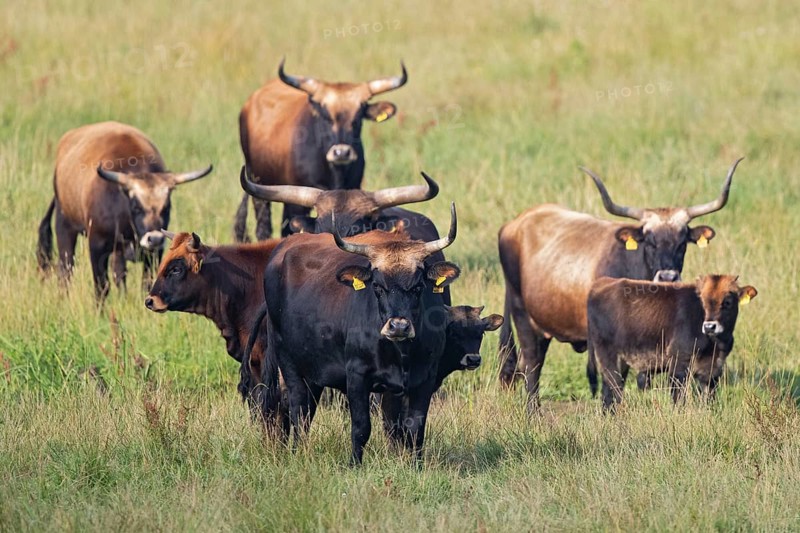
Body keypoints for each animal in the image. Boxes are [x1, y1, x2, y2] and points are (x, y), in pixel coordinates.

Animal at [36, 121, 212, 300]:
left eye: (166, 207)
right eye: (136, 207)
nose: (155, 239)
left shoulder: (154, 253)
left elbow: (145, 282)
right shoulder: (96, 245)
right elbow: (101, 286)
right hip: (65, 227)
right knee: (66, 268)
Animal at [261, 205, 460, 464]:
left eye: (418, 287)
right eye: (377, 286)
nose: (398, 327)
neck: (399, 352)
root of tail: (282, 248)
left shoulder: (424, 377)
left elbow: (414, 428)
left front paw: (415, 465)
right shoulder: (356, 376)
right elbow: (361, 427)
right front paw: (354, 464)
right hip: (288, 361)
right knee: (298, 409)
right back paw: (297, 452)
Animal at [587, 274, 757, 409]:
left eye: (727, 302)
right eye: (702, 301)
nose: (709, 326)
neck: (715, 343)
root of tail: (600, 284)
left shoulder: (713, 369)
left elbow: (709, 399)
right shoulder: (679, 363)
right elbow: (678, 398)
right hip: (608, 357)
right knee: (613, 390)